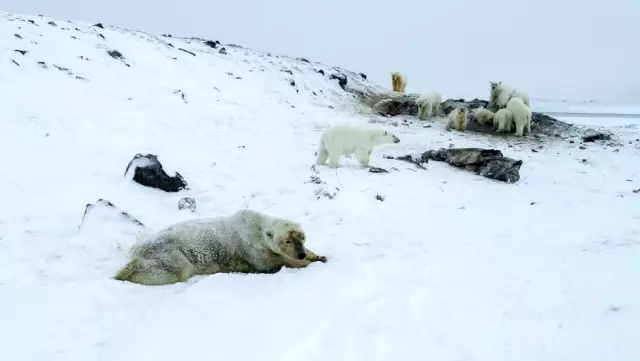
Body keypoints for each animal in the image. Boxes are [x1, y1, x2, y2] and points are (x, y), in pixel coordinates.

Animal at [112, 208, 328, 284]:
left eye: (302, 238)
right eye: (288, 241)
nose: (300, 254)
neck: (257, 226)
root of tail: (137, 248)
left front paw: (318, 256)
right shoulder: (253, 249)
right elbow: (273, 263)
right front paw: (306, 263)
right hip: (169, 252)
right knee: (172, 269)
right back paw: (124, 272)